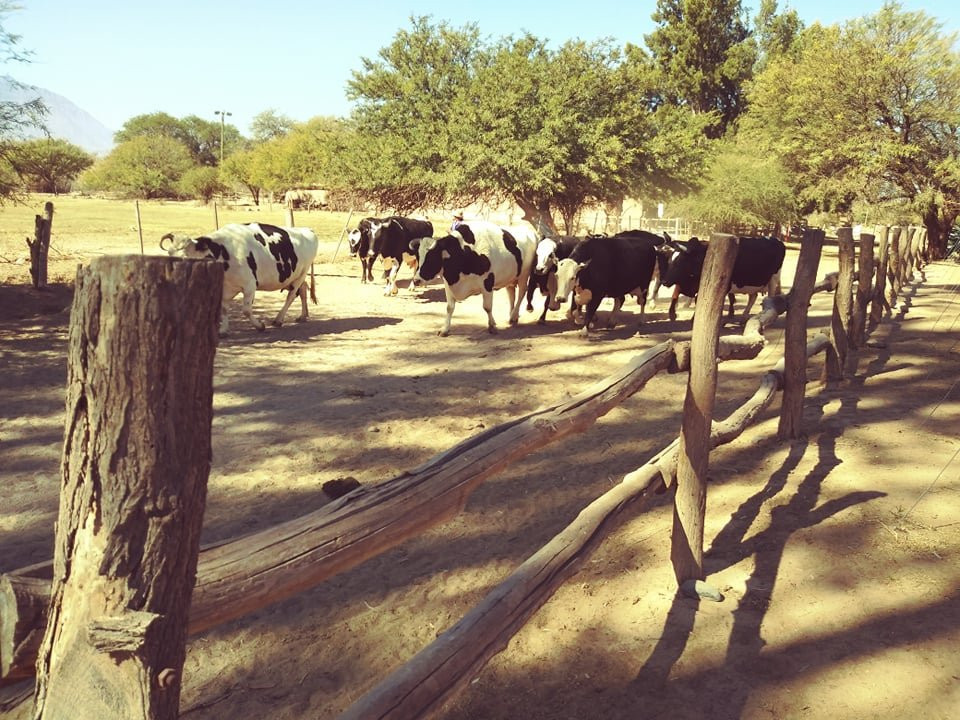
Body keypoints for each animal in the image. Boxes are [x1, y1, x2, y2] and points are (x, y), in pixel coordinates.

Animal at [160, 223, 318, 335]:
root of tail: (308, 230)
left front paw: (260, 326)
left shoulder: (250, 285)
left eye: (185, 257)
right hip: (296, 275)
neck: (224, 253)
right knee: (303, 289)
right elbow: (223, 309)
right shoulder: (224, 287)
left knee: (291, 296)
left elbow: (246, 310)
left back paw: (279, 319)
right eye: (169, 254)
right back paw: (303, 316)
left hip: (301, 274)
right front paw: (223, 330)